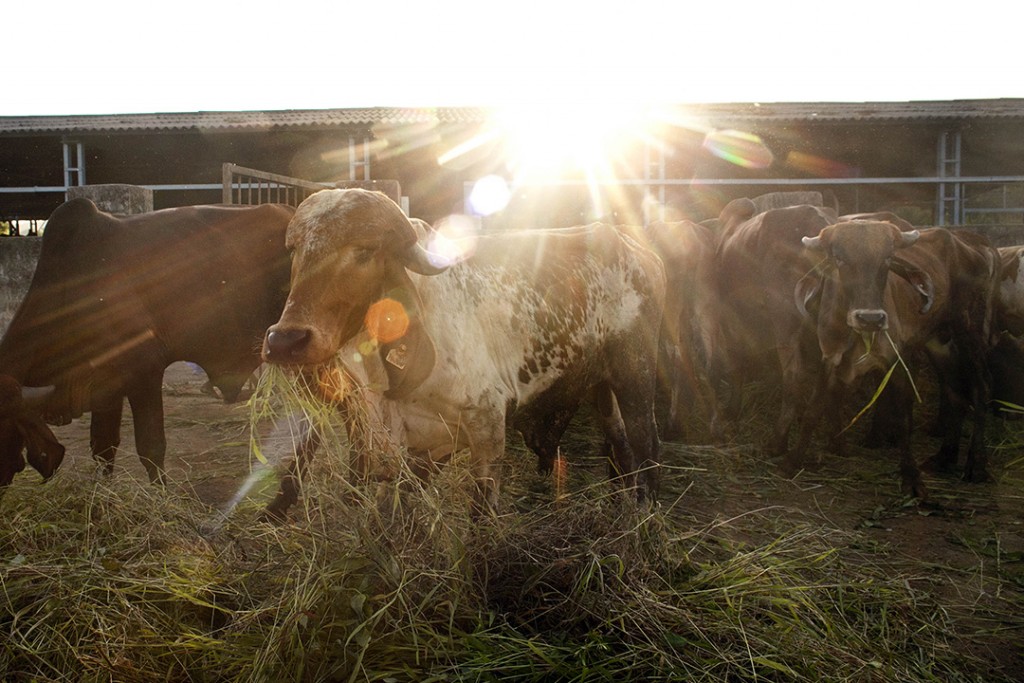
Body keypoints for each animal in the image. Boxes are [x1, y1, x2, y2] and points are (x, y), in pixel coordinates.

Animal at [260, 188, 667, 518]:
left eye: (364, 250)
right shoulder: (399, 443)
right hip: (603, 386)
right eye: (295, 249)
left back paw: (644, 520)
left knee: (646, 445)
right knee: (620, 445)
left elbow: (480, 517)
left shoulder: (486, 424)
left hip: (636, 375)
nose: (285, 341)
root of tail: (638, 249)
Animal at [782, 223, 999, 497]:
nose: (870, 318)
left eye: (887, 258)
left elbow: (903, 418)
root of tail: (976, 247)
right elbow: (813, 408)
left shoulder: (897, 360)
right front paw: (793, 460)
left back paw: (976, 465)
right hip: (939, 341)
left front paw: (911, 477)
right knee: (954, 391)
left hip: (969, 329)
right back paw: (944, 458)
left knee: (981, 387)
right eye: (839, 258)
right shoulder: (830, 357)